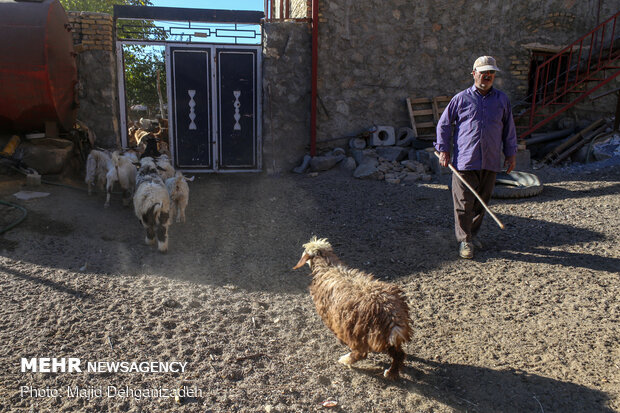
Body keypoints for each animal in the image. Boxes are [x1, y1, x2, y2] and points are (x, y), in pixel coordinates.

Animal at [294, 237, 414, 378]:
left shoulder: (329, 315)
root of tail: (392, 317)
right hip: (385, 337)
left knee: (361, 353)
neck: (328, 267)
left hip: (355, 331)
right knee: (399, 354)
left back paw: (346, 359)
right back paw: (391, 373)